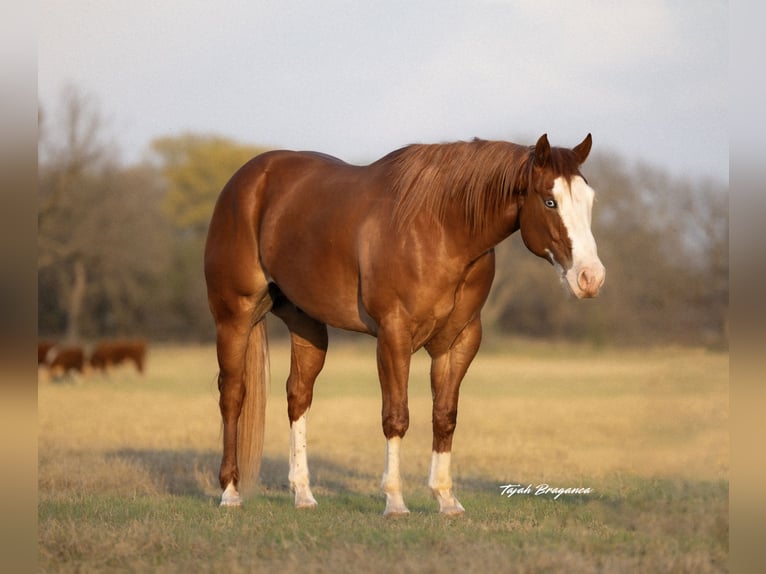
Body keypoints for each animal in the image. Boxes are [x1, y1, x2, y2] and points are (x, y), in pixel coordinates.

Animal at [204, 133, 605, 515]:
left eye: (589, 200)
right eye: (550, 202)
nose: (591, 278)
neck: (443, 230)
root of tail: (246, 180)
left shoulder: (459, 341)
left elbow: (444, 416)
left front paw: (446, 499)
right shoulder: (394, 335)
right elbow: (396, 416)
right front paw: (395, 501)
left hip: (307, 325)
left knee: (298, 396)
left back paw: (303, 494)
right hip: (234, 318)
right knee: (233, 396)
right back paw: (230, 492)